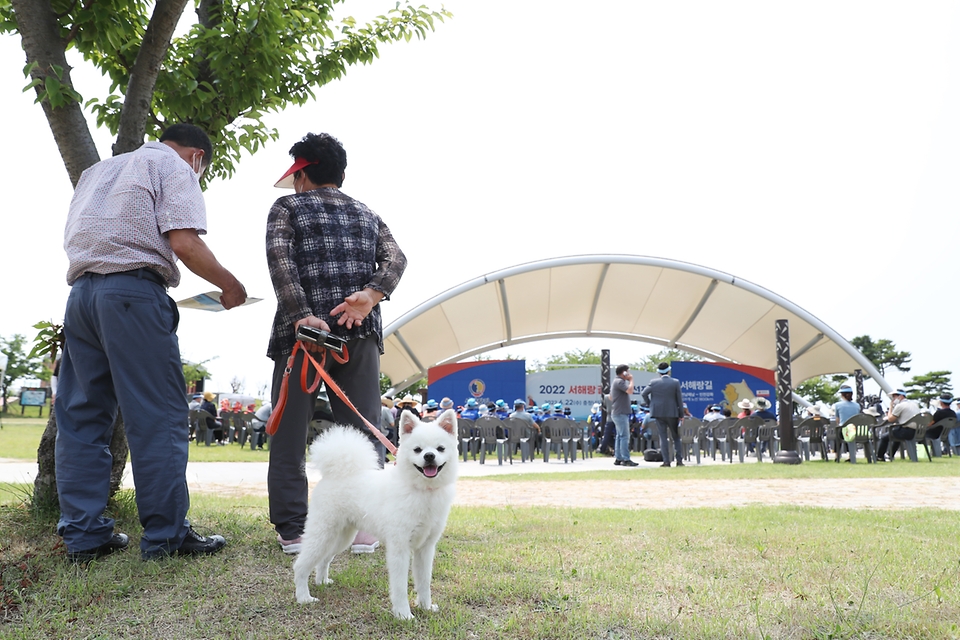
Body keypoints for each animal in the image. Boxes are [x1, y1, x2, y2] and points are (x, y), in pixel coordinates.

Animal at [290, 408, 460, 616]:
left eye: (440, 448)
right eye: (417, 449)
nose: (429, 456)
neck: (422, 490)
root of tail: (335, 473)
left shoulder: (425, 548)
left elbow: (424, 582)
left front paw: (426, 607)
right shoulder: (399, 547)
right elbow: (400, 586)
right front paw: (404, 614)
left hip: (340, 537)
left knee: (324, 560)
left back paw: (322, 581)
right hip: (322, 534)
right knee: (300, 565)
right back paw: (304, 597)